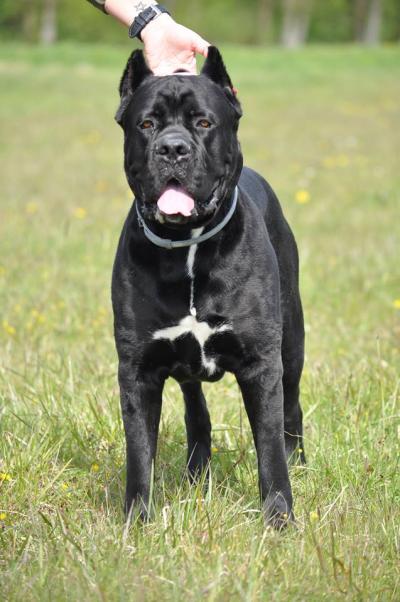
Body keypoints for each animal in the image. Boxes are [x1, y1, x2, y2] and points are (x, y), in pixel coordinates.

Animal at [111, 45, 304, 524]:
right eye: (146, 124)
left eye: (203, 122)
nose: (172, 148)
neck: (188, 247)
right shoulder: (137, 370)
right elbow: (139, 451)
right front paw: (135, 522)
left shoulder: (261, 363)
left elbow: (269, 446)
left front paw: (279, 518)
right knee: (196, 410)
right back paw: (197, 471)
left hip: (292, 342)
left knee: (292, 409)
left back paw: (300, 462)